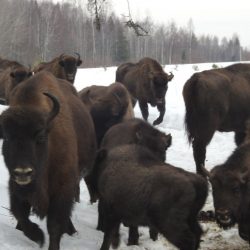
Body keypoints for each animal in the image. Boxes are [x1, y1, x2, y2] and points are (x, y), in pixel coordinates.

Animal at [0, 71, 96, 249]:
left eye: (40, 136)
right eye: (7, 138)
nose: (23, 172)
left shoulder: (62, 189)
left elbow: (55, 225)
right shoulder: (16, 187)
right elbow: (20, 214)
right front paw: (38, 236)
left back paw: (71, 230)